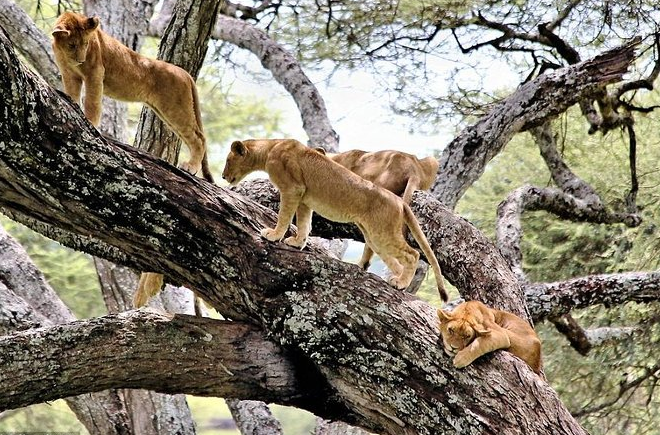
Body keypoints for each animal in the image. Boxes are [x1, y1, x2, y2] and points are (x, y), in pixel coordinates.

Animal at [52, 11, 213, 182]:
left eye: (86, 44)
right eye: (72, 45)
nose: (81, 60)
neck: (64, 53)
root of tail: (185, 73)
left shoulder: (95, 73)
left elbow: (92, 102)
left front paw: (90, 123)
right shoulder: (69, 74)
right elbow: (72, 94)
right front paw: (72, 106)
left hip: (176, 108)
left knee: (199, 138)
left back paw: (190, 167)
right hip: (166, 111)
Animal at [222, 138, 448, 302]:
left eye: (227, 161)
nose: (223, 176)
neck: (269, 148)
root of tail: (399, 201)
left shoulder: (292, 189)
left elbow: (285, 215)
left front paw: (273, 235)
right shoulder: (304, 198)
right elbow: (303, 223)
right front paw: (297, 242)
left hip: (382, 233)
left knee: (413, 254)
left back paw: (401, 283)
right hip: (374, 236)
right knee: (394, 259)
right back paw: (397, 281)